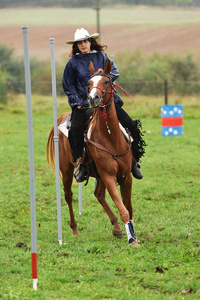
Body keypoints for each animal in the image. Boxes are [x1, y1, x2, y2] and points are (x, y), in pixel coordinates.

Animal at [47, 59, 140, 246]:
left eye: (106, 81)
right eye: (88, 84)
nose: (93, 98)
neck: (111, 138)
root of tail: (62, 117)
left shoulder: (125, 176)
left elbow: (129, 207)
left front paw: (132, 234)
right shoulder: (108, 175)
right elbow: (123, 209)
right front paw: (132, 240)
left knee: (99, 195)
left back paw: (116, 227)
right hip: (67, 170)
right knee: (68, 196)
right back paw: (75, 229)